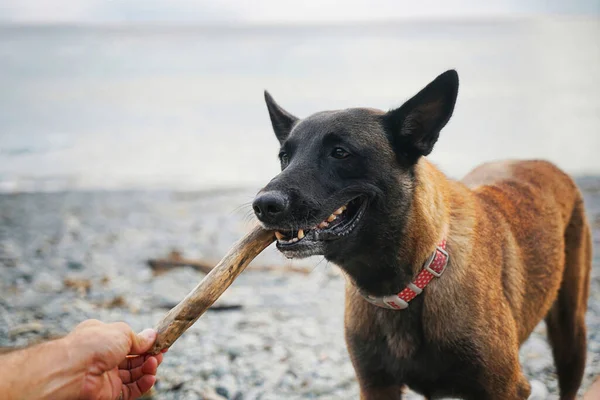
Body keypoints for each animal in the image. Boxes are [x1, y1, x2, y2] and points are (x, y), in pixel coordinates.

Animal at [252, 70, 592, 398]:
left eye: (339, 152)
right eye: (284, 157)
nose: (263, 205)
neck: (403, 287)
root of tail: (542, 163)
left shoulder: (505, 388)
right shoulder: (376, 385)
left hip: (570, 335)